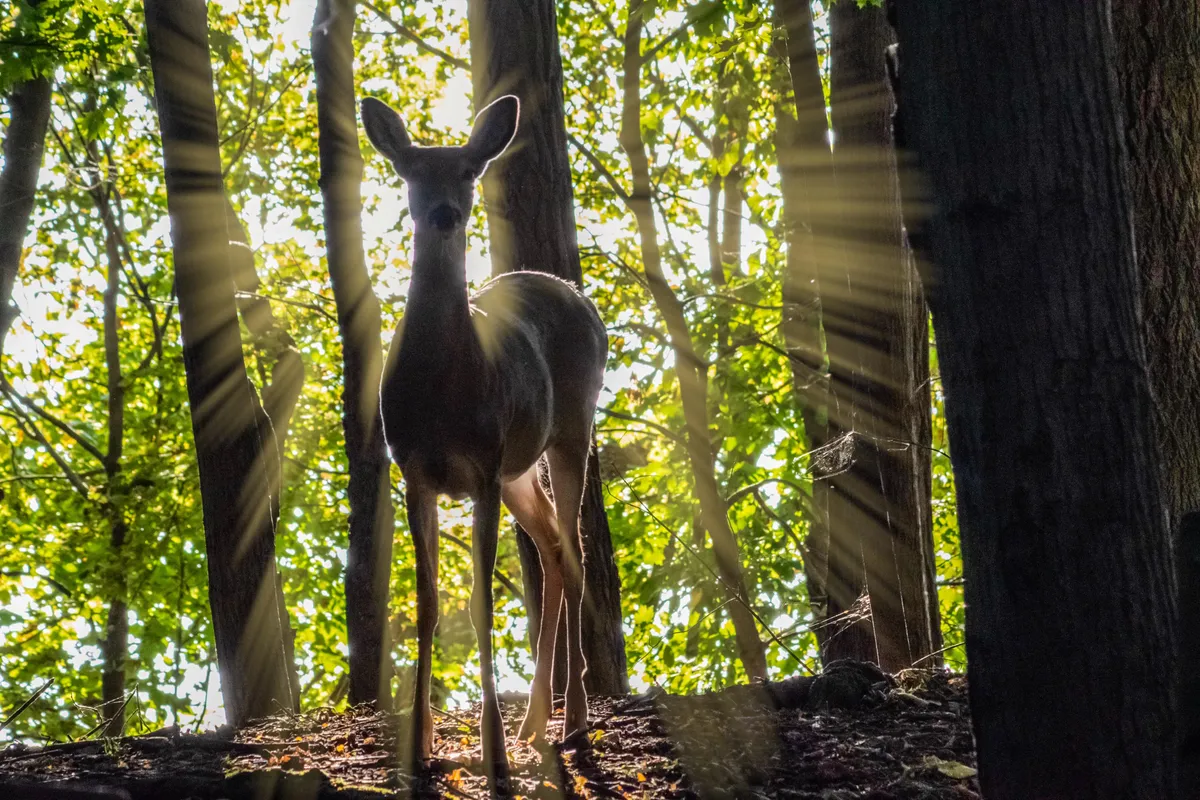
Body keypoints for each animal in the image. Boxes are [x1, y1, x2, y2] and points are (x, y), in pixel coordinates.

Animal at [360, 93, 607, 785]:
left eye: (470, 171)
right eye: (411, 170)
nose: (444, 212)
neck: (444, 388)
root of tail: (576, 296)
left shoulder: (481, 467)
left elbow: (480, 603)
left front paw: (493, 754)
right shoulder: (415, 470)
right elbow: (427, 604)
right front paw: (420, 745)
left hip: (568, 430)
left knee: (574, 549)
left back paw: (573, 720)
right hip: (519, 470)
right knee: (550, 546)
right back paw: (536, 723)